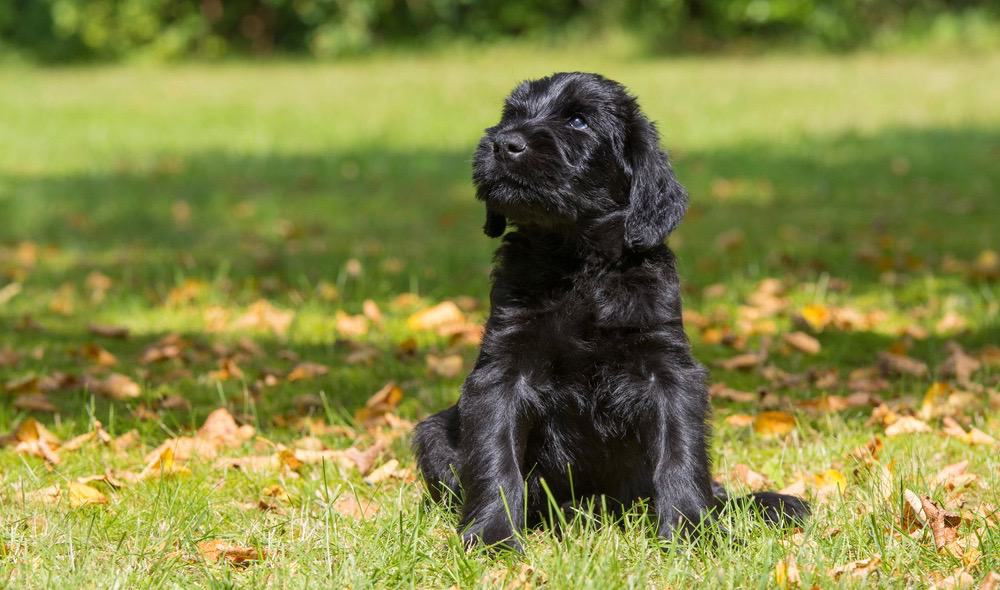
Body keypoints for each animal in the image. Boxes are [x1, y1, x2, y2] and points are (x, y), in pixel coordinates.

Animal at [410, 73, 808, 552]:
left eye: (579, 121)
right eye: (512, 115)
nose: (504, 143)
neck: (578, 265)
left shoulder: (668, 369)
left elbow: (681, 451)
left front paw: (692, 530)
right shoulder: (502, 371)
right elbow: (494, 456)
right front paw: (492, 536)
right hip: (434, 432)